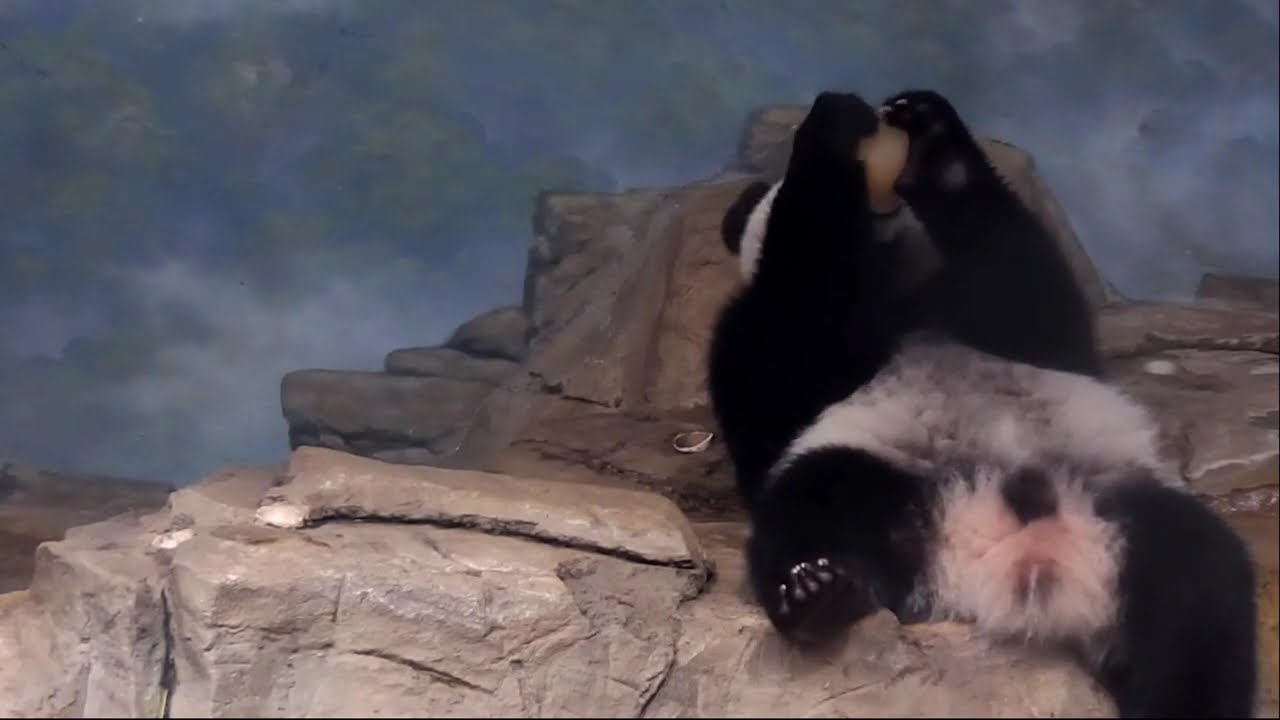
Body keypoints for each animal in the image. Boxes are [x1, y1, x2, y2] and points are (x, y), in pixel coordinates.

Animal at [707, 89, 1257, 717]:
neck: (889, 281)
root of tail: (1017, 562)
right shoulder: (767, 342)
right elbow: (789, 342)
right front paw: (833, 126)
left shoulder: (986, 313)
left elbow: (1025, 287)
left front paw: (928, 135)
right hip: (890, 485)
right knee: (813, 502)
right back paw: (817, 592)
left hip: (1120, 509)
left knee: (1195, 598)